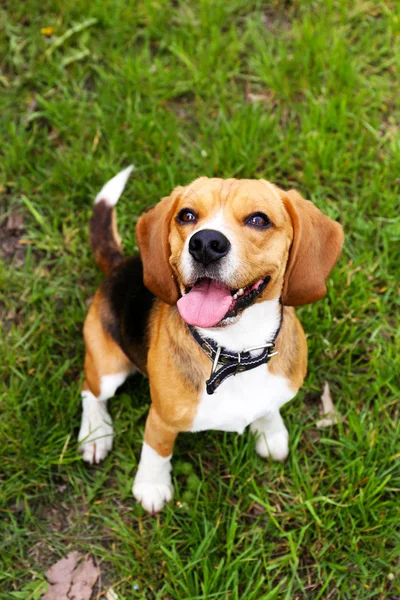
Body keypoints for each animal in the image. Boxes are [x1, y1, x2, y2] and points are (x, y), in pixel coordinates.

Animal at [79, 168, 344, 510]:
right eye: (187, 215)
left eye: (259, 219)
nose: (205, 243)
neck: (235, 353)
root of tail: (120, 264)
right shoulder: (161, 417)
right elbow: (157, 449)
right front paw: (151, 486)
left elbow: (268, 407)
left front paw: (270, 431)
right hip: (107, 367)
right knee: (91, 391)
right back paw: (95, 434)